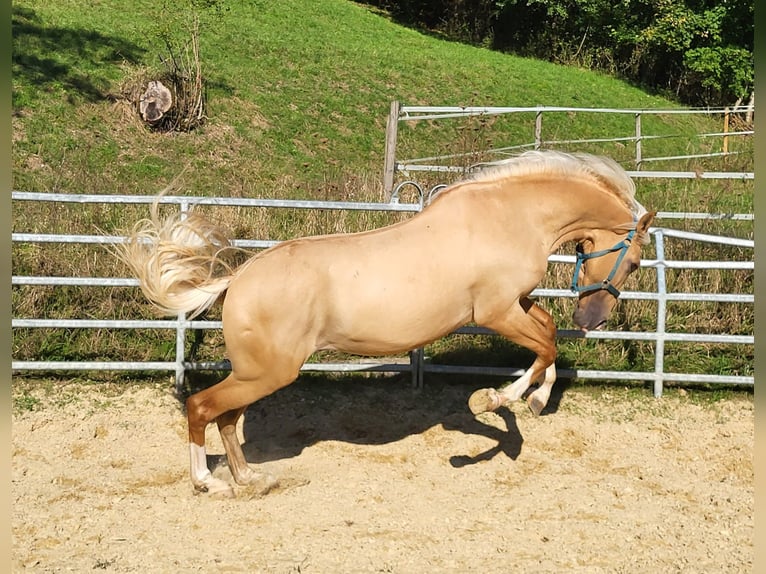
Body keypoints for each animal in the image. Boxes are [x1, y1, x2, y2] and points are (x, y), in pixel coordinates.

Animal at [118, 151, 656, 498]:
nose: (591, 319)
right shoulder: (495, 311)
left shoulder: (516, 303)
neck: (510, 215)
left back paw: (252, 480)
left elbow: (546, 334)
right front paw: (495, 399)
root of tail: (237, 280)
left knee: (227, 418)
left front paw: (537, 399)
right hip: (267, 372)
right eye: (633, 264)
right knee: (202, 407)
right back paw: (208, 482)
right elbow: (544, 347)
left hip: (256, 373)